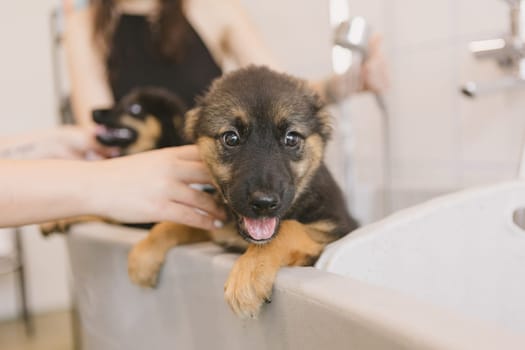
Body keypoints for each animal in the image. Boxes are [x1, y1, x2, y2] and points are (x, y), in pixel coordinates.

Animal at [127, 66, 358, 320]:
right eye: (231, 138)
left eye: (291, 138)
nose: (264, 203)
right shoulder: (215, 227)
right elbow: (174, 224)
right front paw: (145, 254)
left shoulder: (336, 228)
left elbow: (288, 230)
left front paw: (249, 275)